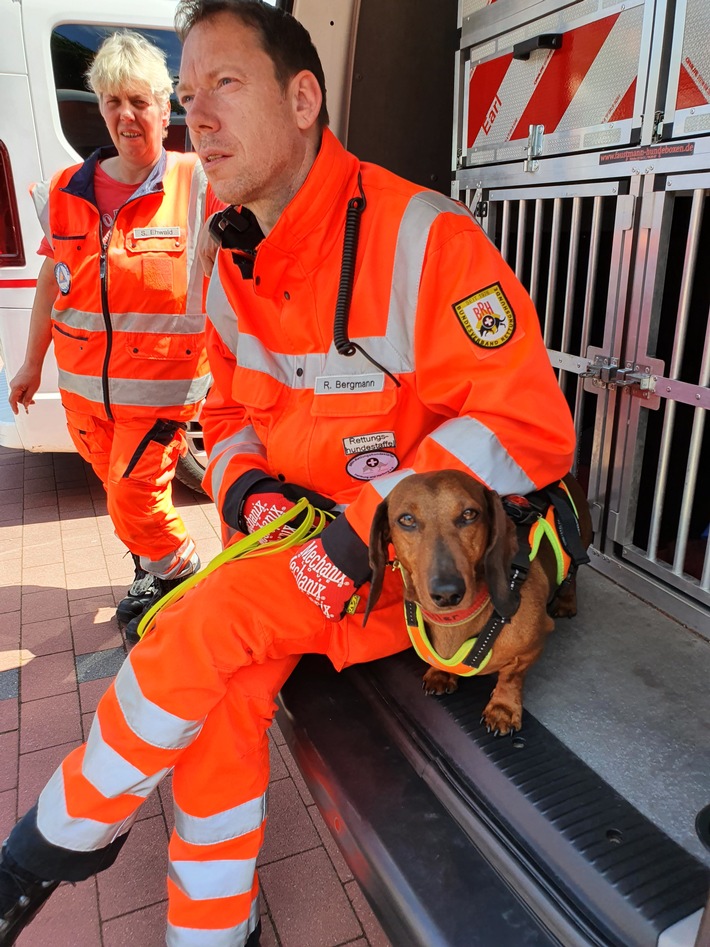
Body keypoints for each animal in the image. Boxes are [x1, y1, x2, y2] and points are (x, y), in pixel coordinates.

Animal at [368, 470, 596, 736]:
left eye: (469, 514)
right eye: (406, 519)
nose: (448, 593)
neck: (455, 621)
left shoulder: (532, 647)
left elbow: (511, 676)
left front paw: (503, 708)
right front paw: (442, 673)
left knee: (573, 574)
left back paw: (566, 601)